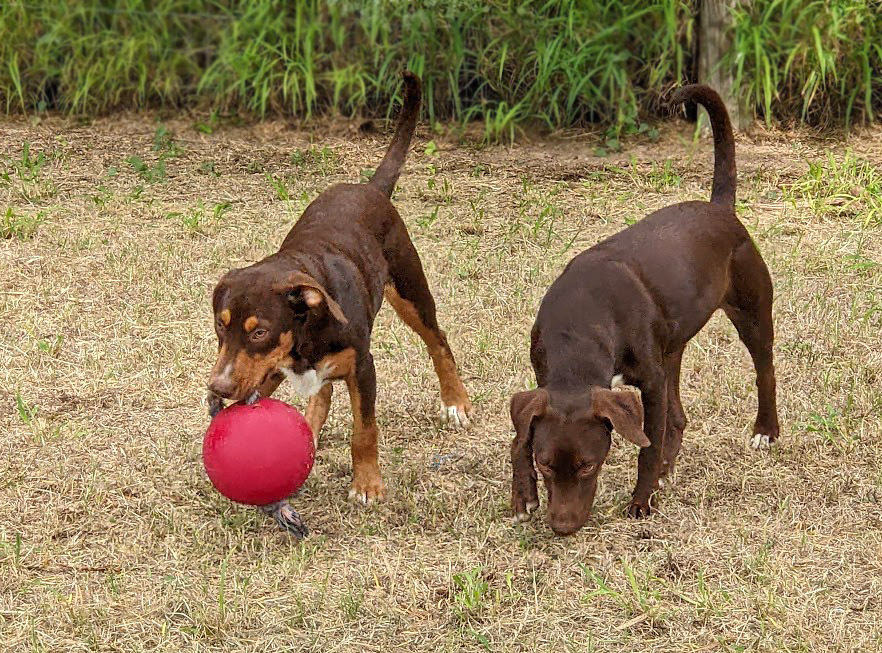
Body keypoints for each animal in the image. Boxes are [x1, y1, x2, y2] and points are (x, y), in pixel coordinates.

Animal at [207, 71, 470, 536]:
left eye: (259, 331)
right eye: (221, 326)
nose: (216, 388)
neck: (305, 329)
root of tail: (369, 187)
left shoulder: (363, 367)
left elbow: (364, 430)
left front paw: (367, 485)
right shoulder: (264, 371)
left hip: (411, 292)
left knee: (438, 341)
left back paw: (455, 401)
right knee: (322, 392)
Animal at [508, 85, 776, 536]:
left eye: (588, 466)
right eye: (546, 465)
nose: (562, 527)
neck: (579, 328)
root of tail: (719, 208)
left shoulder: (649, 381)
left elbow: (646, 446)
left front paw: (641, 501)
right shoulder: (542, 383)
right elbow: (521, 437)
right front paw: (523, 493)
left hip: (752, 313)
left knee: (764, 371)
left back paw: (766, 431)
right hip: (673, 347)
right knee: (678, 416)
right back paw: (671, 466)